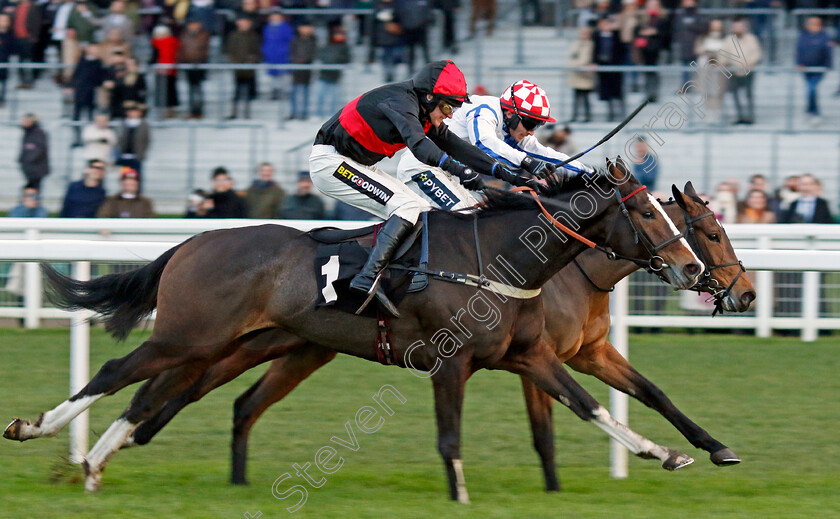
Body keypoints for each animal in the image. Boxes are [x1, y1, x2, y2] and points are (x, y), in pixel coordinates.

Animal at [4, 160, 704, 498]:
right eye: (646, 212)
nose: (693, 267)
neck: (496, 255)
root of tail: (190, 241)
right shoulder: (451, 362)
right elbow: (450, 437)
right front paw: (460, 494)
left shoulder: (529, 356)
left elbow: (590, 406)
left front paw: (666, 452)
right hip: (190, 336)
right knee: (116, 372)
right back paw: (39, 431)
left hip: (217, 345)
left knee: (151, 397)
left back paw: (94, 465)